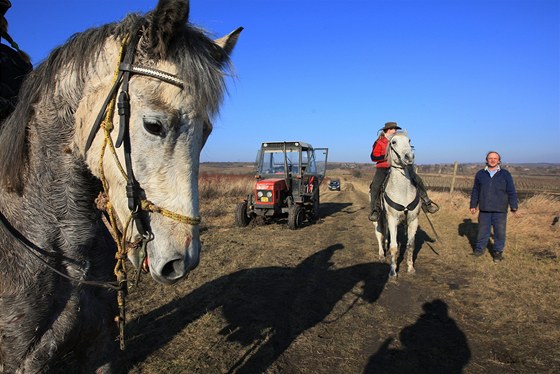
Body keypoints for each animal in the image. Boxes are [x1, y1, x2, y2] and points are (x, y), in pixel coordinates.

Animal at [372, 131, 420, 278]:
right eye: (393, 142)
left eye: (409, 140)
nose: (409, 157)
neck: (402, 190)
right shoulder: (392, 219)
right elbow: (394, 247)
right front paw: (393, 271)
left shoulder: (413, 220)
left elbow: (411, 245)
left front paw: (410, 268)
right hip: (377, 219)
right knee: (379, 234)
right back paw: (382, 254)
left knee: (386, 234)